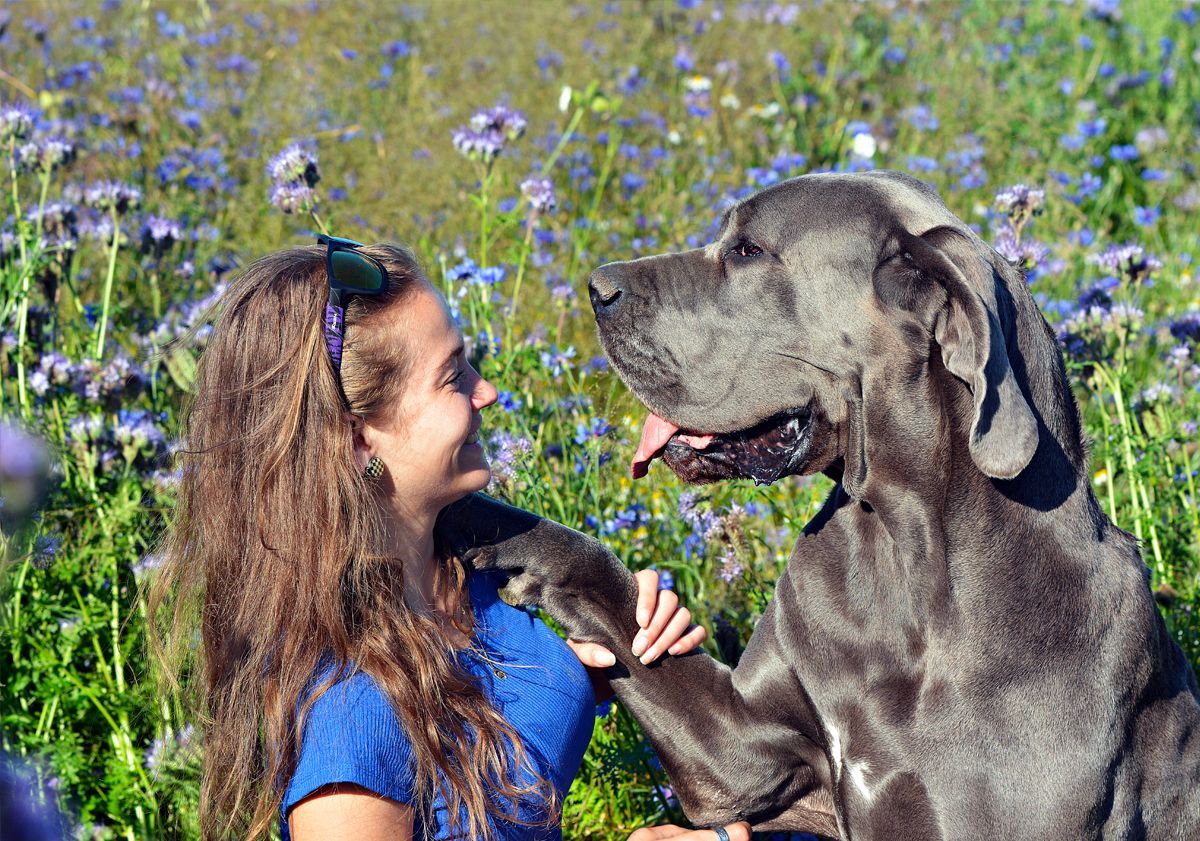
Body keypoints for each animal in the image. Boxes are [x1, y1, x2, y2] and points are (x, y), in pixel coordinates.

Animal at [448, 172, 1200, 839]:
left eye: (748, 251)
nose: (596, 287)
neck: (907, 556)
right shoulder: (744, 753)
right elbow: (597, 570)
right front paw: (471, 515)